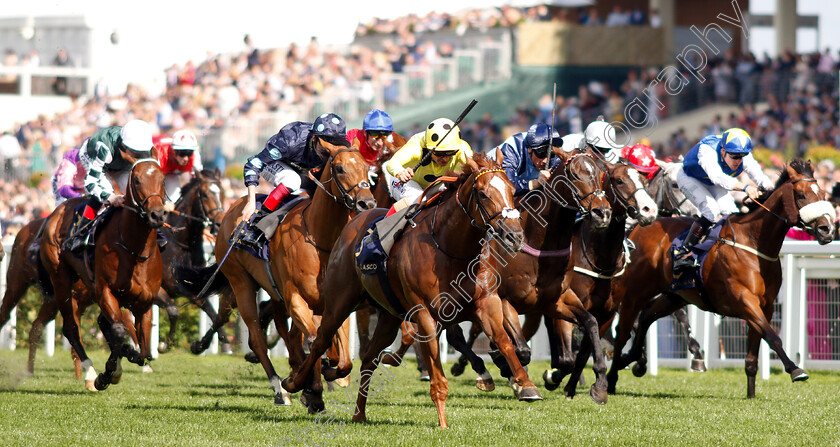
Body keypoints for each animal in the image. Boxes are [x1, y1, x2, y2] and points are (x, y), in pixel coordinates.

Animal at [40, 159, 168, 390]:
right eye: (137, 180)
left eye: (162, 179)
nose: (157, 215)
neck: (135, 251)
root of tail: (56, 212)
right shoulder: (105, 292)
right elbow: (119, 332)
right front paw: (107, 374)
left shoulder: (144, 303)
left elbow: (144, 350)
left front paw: (128, 356)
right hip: (61, 279)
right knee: (71, 328)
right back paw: (90, 372)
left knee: (102, 322)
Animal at [182, 140, 376, 410]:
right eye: (339, 168)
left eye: (367, 167)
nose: (367, 204)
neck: (321, 240)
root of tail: (231, 211)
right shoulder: (295, 298)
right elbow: (314, 341)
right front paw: (306, 387)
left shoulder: (334, 303)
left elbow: (342, 357)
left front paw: (322, 379)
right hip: (241, 284)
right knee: (257, 338)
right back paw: (279, 388)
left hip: (273, 295)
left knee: (283, 333)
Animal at [282, 156, 532, 428]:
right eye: (484, 194)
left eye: (512, 191)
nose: (515, 236)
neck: (450, 248)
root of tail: (353, 222)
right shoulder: (424, 311)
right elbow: (436, 366)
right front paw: (442, 421)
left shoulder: (487, 302)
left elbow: (504, 340)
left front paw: (525, 384)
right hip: (339, 302)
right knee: (320, 341)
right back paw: (295, 383)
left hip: (389, 315)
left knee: (369, 356)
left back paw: (359, 413)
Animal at [608, 161, 836, 400]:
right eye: (801, 195)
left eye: (822, 194)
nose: (828, 229)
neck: (754, 243)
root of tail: (639, 228)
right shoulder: (744, 300)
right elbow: (773, 337)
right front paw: (795, 369)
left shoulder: (765, 306)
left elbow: (754, 353)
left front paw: (751, 395)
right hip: (634, 292)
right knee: (622, 331)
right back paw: (612, 377)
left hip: (674, 295)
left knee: (646, 318)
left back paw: (635, 361)